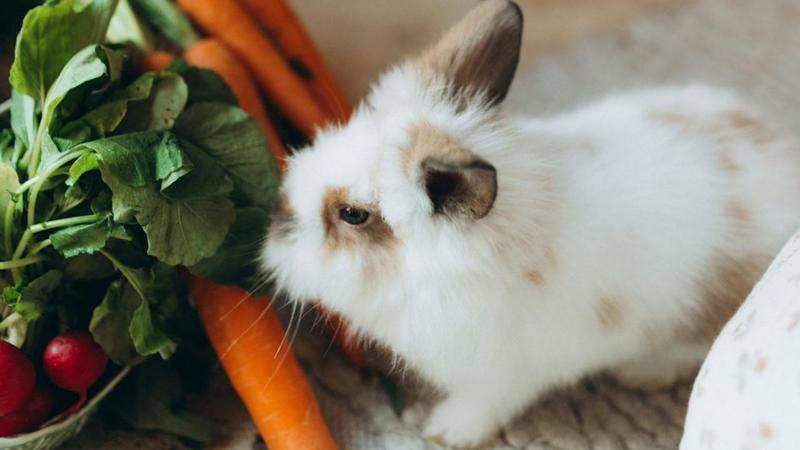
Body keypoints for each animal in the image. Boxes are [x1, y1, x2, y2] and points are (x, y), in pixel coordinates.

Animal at [261, 0, 800, 447]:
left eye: (352, 214)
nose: (278, 221)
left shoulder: (501, 373)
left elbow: (484, 405)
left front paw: (446, 432)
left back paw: (641, 374)